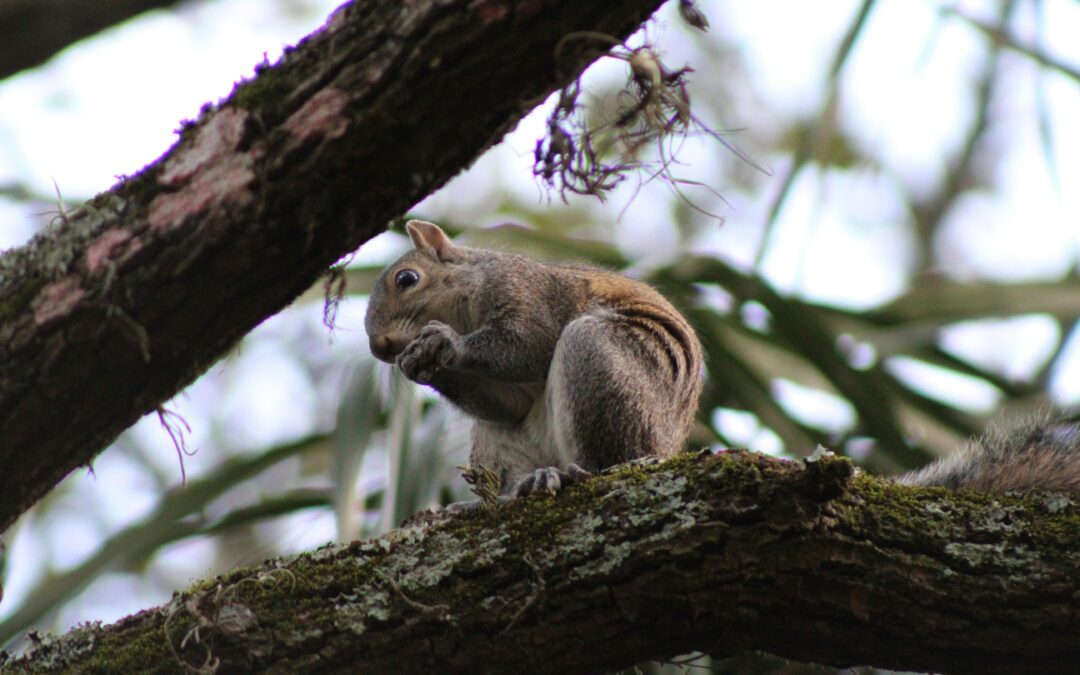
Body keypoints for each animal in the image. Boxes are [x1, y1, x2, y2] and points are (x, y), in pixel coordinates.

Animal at [366, 220, 1080, 499]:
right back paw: (512, 489)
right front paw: (425, 367)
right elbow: (507, 399)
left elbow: (525, 347)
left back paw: (566, 475)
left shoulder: (528, 296)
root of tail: (666, 448)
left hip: (600, 363)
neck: (468, 289)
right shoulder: (503, 397)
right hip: (494, 445)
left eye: (405, 279)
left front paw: (444, 347)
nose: (379, 347)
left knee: (611, 457)